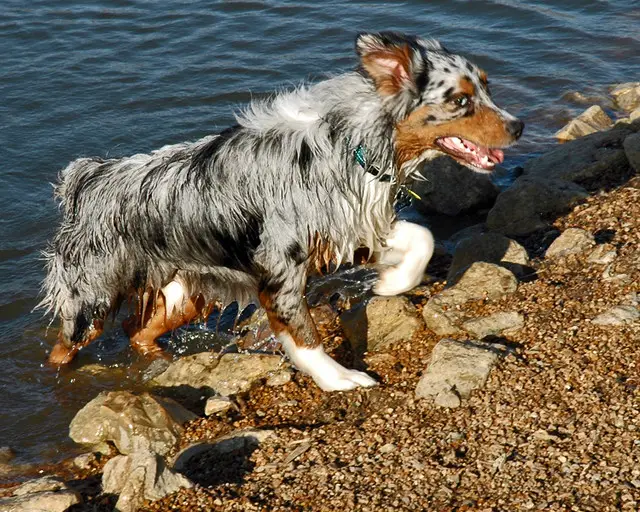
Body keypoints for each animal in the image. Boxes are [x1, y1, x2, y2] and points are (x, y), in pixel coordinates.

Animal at [38, 32, 520, 390]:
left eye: (487, 87)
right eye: (459, 100)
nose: (518, 126)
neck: (350, 142)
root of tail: (86, 179)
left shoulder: (343, 230)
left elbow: (422, 237)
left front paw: (392, 282)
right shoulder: (280, 269)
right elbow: (305, 337)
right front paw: (339, 379)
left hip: (186, 294)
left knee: (138, 333)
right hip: (91, 300)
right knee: (62, 350)